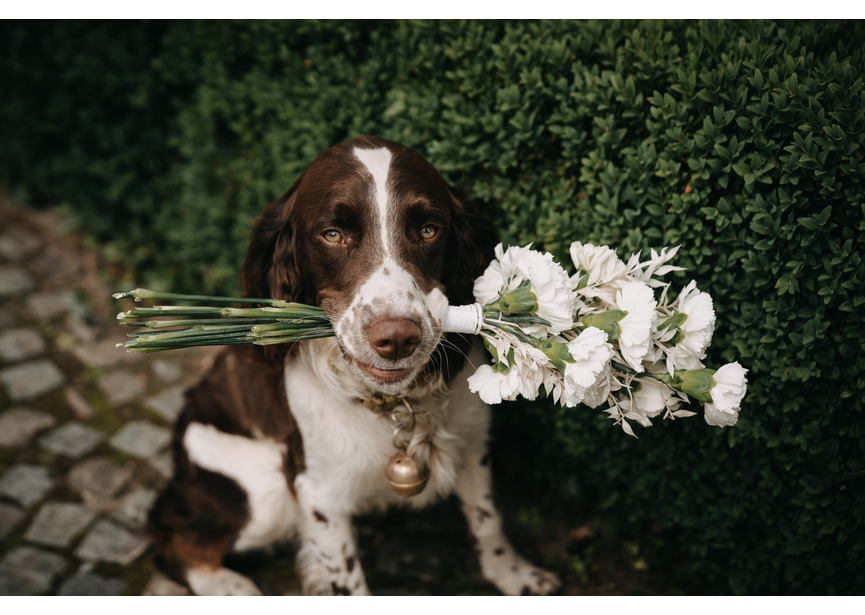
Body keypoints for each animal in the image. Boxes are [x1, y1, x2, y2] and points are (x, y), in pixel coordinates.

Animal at [148, 136, 560, 596]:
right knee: (169, 536)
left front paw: (516, 577)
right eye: (332, 234)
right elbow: (348, 580)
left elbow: (488, 523)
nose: (397, 338)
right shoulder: (318, 495)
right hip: (265, 493)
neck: (396, 404)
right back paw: (231, 588)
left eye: (429, 229)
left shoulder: (473, 446)